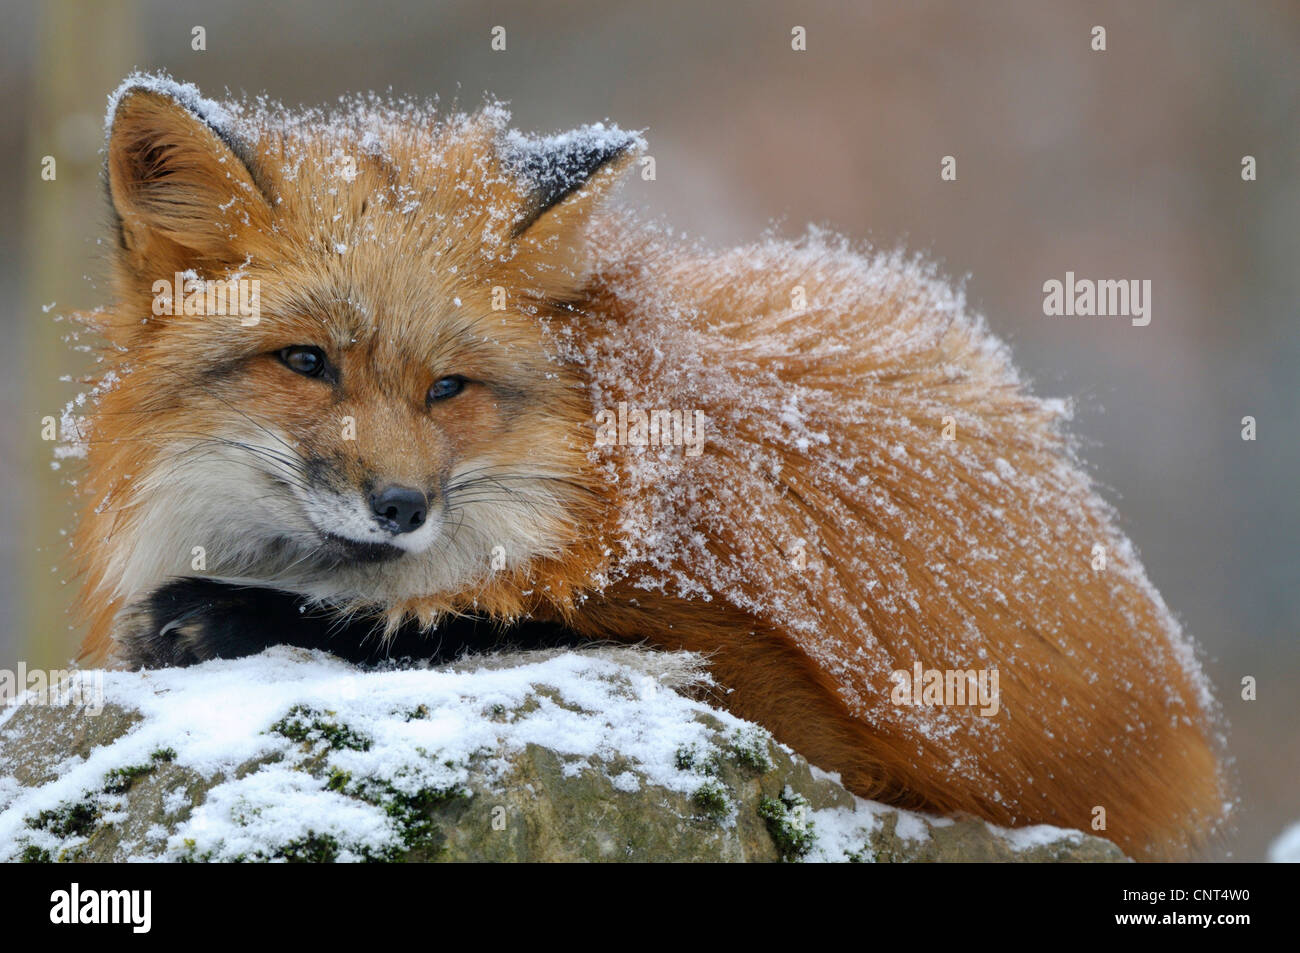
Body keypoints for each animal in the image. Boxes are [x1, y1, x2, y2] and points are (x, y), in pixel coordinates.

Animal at [71, 74, 1227, 858]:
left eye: (449, 387)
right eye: (306, 362)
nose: (401, 506)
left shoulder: (799, 702)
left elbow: (450, 622)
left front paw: (226, 613)